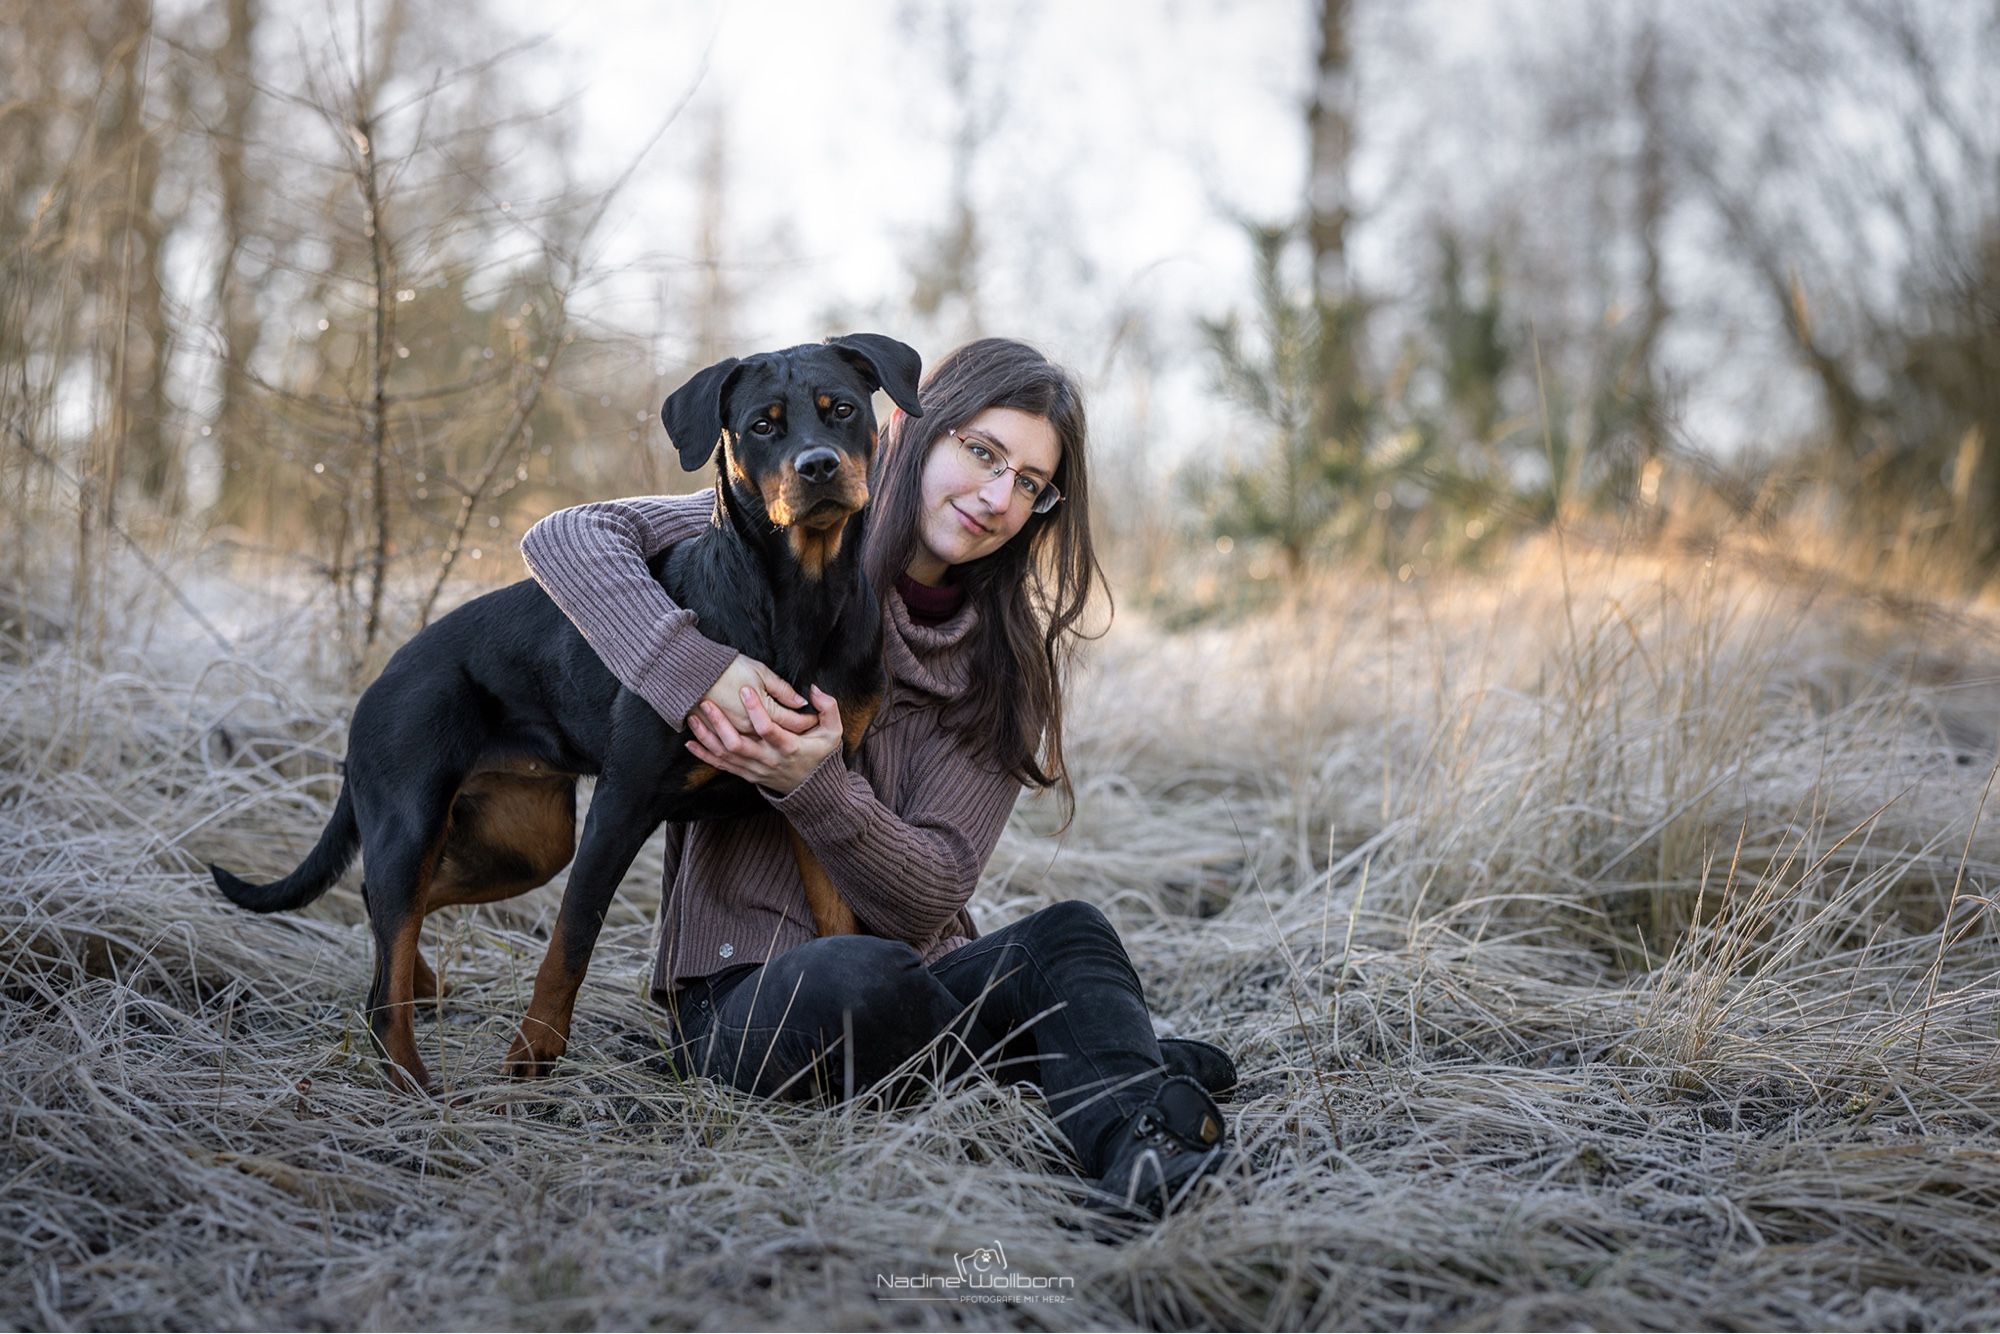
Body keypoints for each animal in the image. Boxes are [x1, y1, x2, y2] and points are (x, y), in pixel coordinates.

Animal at [211, 336, 920, 1096]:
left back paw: (422, 994)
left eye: (841, 409)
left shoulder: (817, 779)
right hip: (412, 817)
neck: (799, 600)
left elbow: (838, 911)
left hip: (527, 841)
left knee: (388, 907)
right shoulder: (623, 802)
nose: (818, 467)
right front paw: (533, 1054)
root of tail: (382, 679)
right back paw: (414, 1083)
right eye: (763, 425)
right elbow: (571, 939)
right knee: (385, 969)